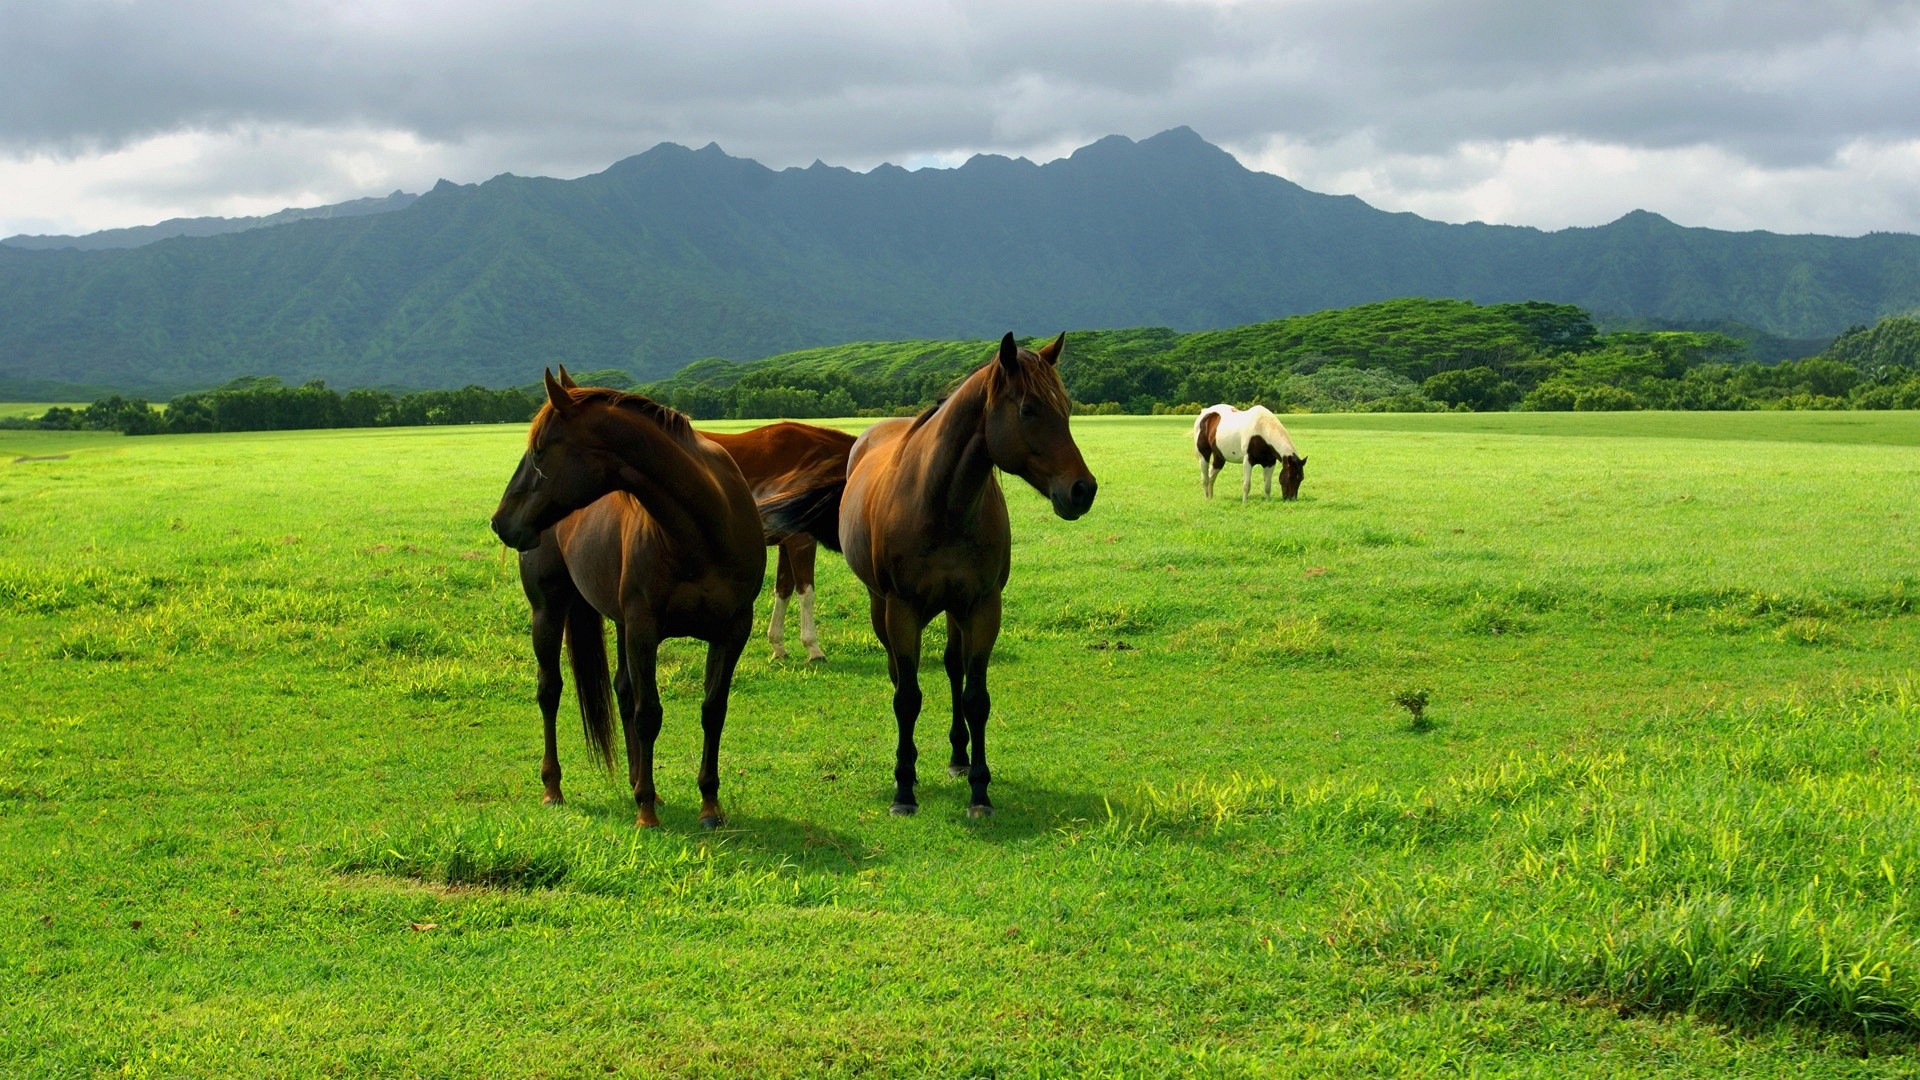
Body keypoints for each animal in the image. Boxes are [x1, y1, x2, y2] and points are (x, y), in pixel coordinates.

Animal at [489, 369, 766, 829]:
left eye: (540, 451)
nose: (500, 522)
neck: (704, 531)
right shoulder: (643, 629)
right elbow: (648, 713)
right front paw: (646, 811)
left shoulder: (732, 631)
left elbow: (713, 710)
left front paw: (709, 804)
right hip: (549, 611)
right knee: (550, 690)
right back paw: (554, 788)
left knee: (621, 689)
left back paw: (638, 779)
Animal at [766, 333, 1097, 818]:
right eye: (1028, 410)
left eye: (1067, 407)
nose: (1082, 490)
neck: (941, 503)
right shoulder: (902, 610)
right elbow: (907, 697)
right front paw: (904, 788)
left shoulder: (982, 607)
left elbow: (975, 697)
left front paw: (979, 789)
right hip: (882, 607)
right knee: (898, 675)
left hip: (955, 611)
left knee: (954, 669)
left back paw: (959, 756)